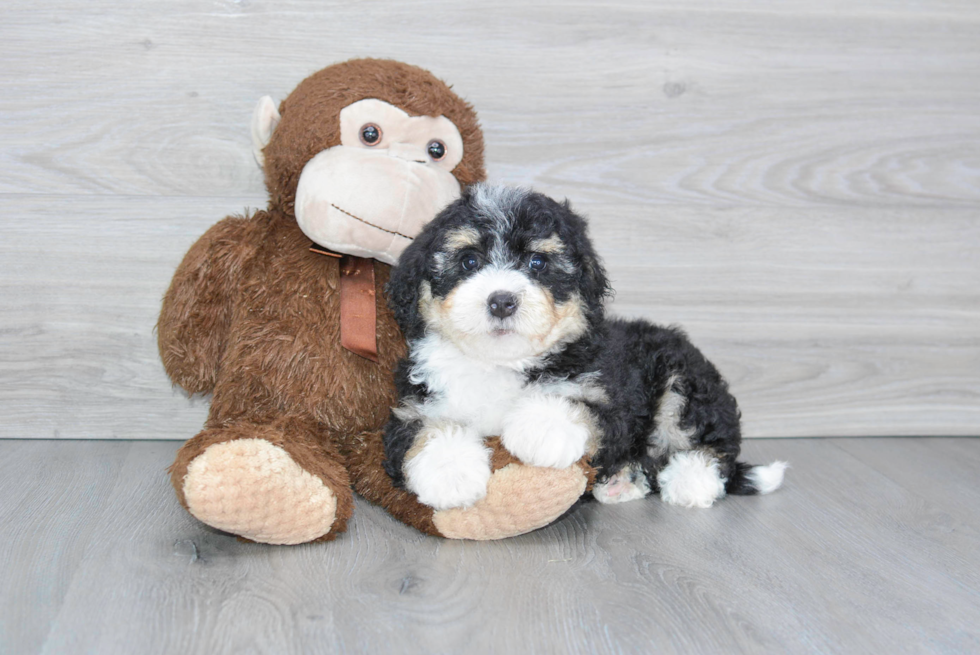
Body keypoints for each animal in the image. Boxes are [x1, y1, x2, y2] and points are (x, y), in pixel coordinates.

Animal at [382, 184, 788, 512]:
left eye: (537, 262)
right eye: (469, 261)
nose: (501, 301)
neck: (503, 363)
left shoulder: (607, 395)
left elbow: (579, 402)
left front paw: (541, 428)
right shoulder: (414, 404)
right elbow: (427, 429)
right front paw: (450, 473)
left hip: (681, 376)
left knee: (704, 440)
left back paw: (690, 480)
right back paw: (622, 483)